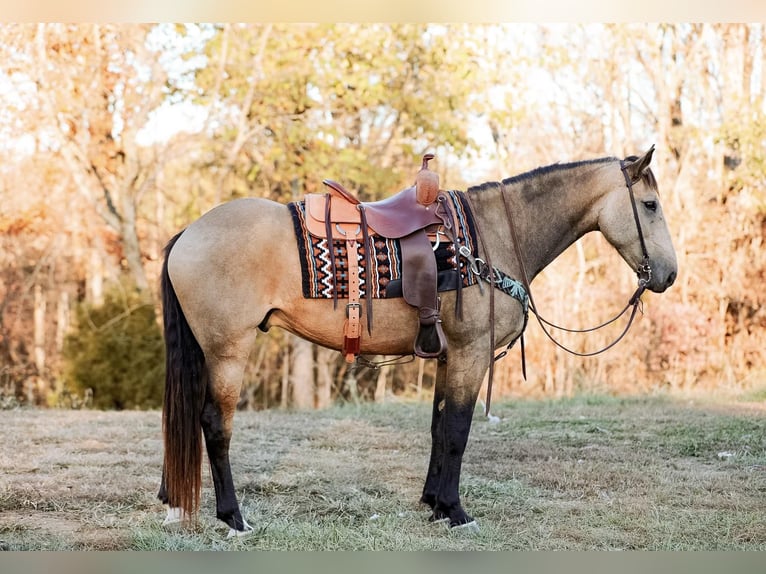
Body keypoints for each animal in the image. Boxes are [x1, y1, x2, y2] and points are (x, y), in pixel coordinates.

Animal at [156, 146, 680, 536]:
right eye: (650, 205)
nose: (669, 275)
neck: (489, 239)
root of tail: (188, 233)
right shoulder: (472, 355)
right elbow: (458, 433)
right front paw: (455, 511)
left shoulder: (449, 358)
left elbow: (438, 428)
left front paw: (432, 503)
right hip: (227, 351)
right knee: (215, 425)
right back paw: (233, 517)